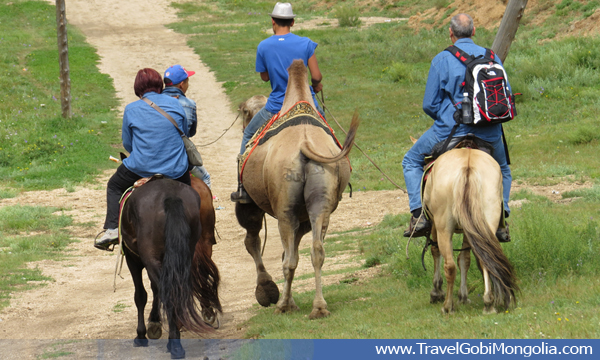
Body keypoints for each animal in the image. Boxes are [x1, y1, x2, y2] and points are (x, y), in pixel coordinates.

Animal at [119, 179, 220, 358]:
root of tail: (171, 198)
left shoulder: (133, 258)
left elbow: (141, 295)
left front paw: (142, 334)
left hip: (151, 257)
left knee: (167, 291)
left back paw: (175, 342)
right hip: (191, 249)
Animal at [233, 59, 356, 320]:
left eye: (245, 114)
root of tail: (305, 145)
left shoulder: (250, 203)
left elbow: (252, 241)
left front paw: (267, 291)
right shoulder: (304, 218)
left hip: (284, 209)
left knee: (286, 256)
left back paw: (284, 305)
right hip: (320, 201)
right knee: (316, 251)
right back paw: (319, 307)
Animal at [424, 148, 516, 314]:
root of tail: (467, 167)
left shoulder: (434, 223)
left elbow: (436, 251)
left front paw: (436, 292)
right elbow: (465, 259)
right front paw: (463, 296)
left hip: (443, 227)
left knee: (450, 265)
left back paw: (447, 306)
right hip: (486, 221)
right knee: (485, 259)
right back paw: (488, 303)